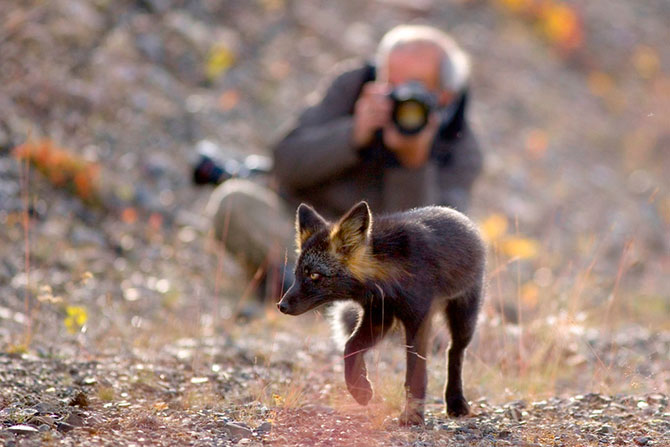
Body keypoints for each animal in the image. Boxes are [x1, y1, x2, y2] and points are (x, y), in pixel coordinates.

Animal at [276, 201, 486, 426]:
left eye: (315, 275)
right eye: (297, 275)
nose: (281, 305)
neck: (387, 277)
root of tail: (459, 216)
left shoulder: (419, 318)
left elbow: (415, 374)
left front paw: (412, 416)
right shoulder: (379, 316)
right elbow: (350, 348)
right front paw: (360, 389)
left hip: (464, 319)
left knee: (454, 352)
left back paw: (456, 401)